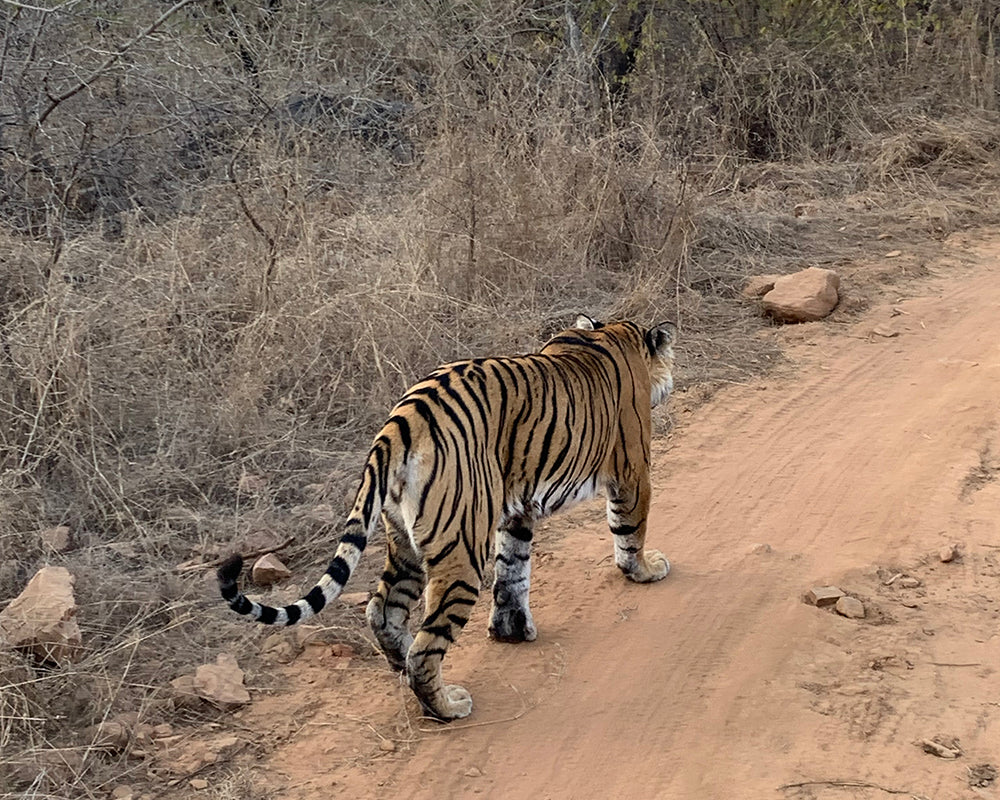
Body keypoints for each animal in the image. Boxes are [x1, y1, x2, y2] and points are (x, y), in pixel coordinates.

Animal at [215, 316, 676, 720]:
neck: (612, 333)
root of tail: (402, 419)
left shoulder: (516, 509)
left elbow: (513, 572)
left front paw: (511, 630)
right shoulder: (632, 469)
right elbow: (629, 530)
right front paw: (645, 570)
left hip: (406, 542)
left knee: (383, 611)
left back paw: (401, 668)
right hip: (462, 550)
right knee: (426, 645)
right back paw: (446, 706)